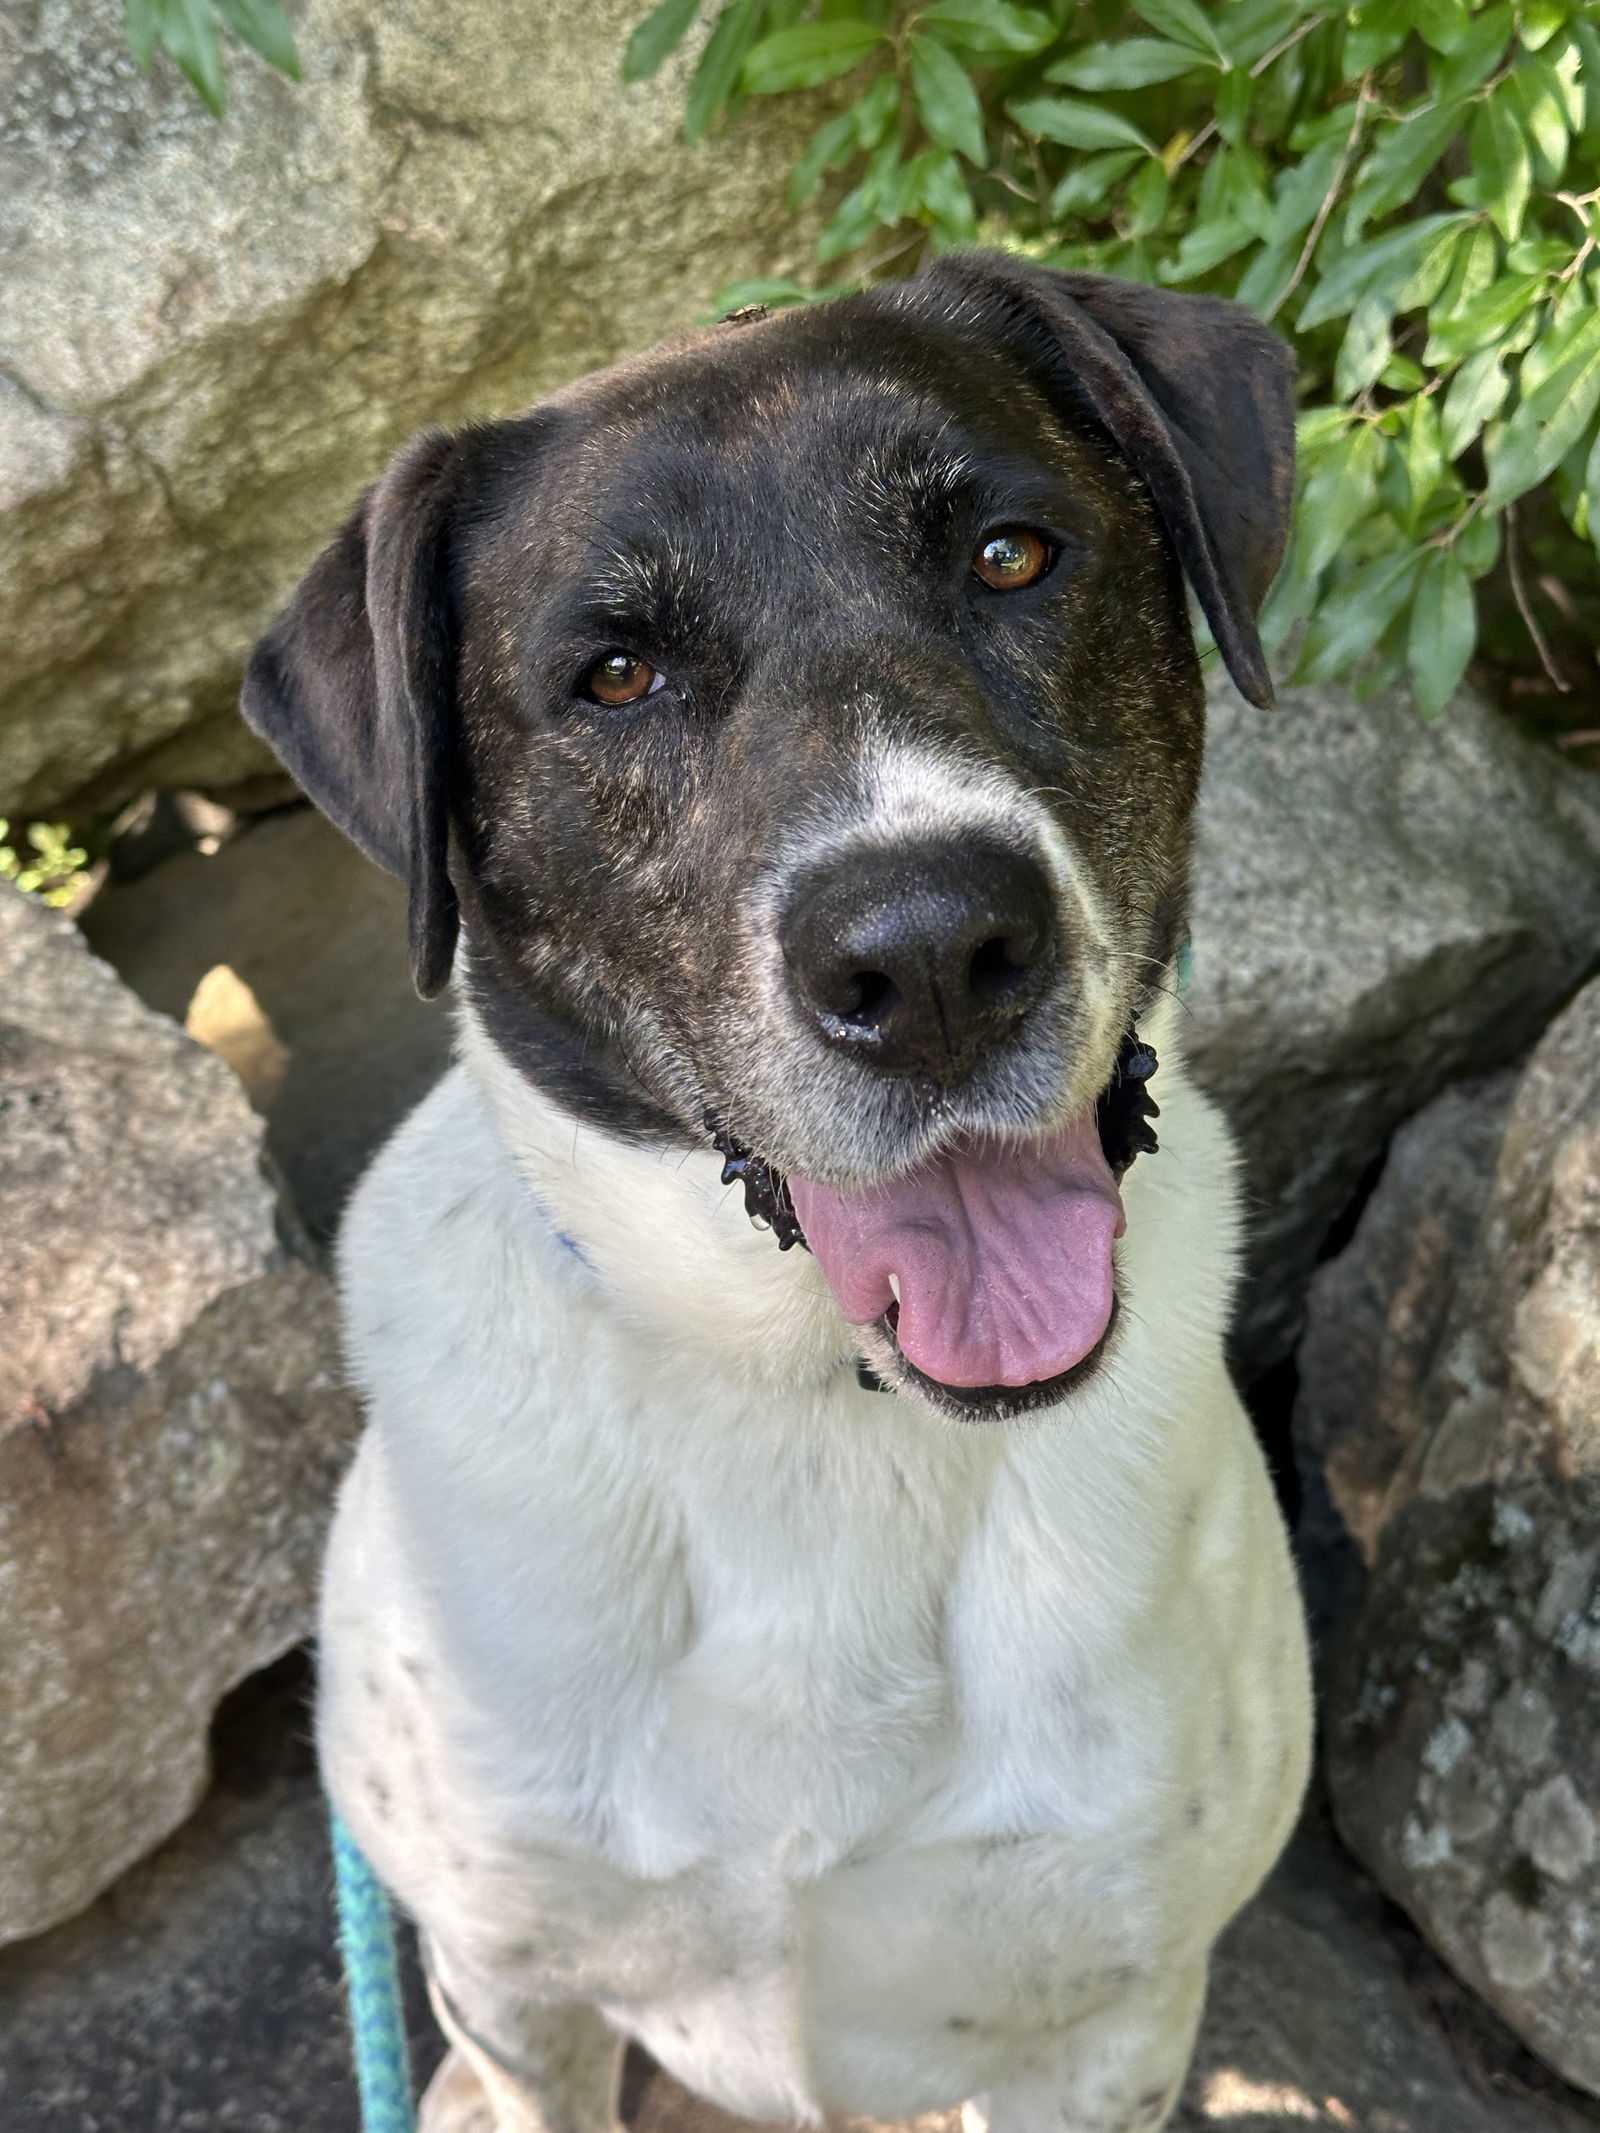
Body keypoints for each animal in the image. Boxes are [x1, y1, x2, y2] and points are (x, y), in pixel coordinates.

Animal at [241, 253, 1314, 2133]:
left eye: (1011, 554)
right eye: (613, 672)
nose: (933, 955)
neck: (824, 1405)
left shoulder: (1102, 2022)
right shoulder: (521, 1983)